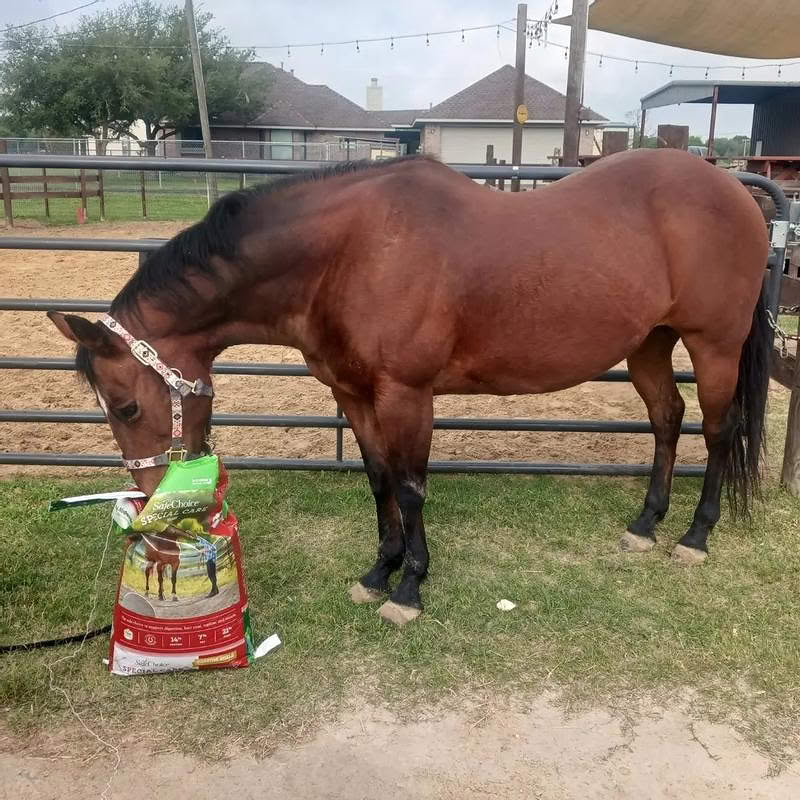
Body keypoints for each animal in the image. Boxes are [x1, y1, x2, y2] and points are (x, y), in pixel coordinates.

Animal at [48, 149, 771, 626]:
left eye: (126, 405)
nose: (153, 510)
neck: (349, 254)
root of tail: (738, 193)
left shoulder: (407, 395)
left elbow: (412, 485)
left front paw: (409, 590)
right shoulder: (354, 395)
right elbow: (378, 481)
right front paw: (380, 572)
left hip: (713, 345)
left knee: (716, 430)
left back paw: (695, 537)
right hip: (649, 342)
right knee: (667, 418)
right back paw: (646, 524)